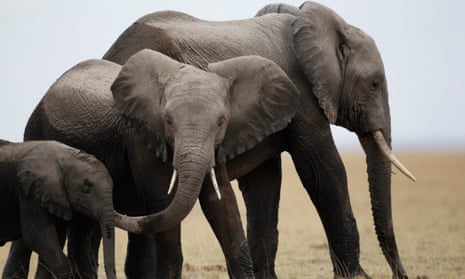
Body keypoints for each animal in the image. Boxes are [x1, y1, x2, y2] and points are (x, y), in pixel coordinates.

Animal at [99, 1, 412, 278]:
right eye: (375, 84)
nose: (402, 275)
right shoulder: (303, 95)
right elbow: (323, 170)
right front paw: (357, 276)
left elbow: (264, 184)